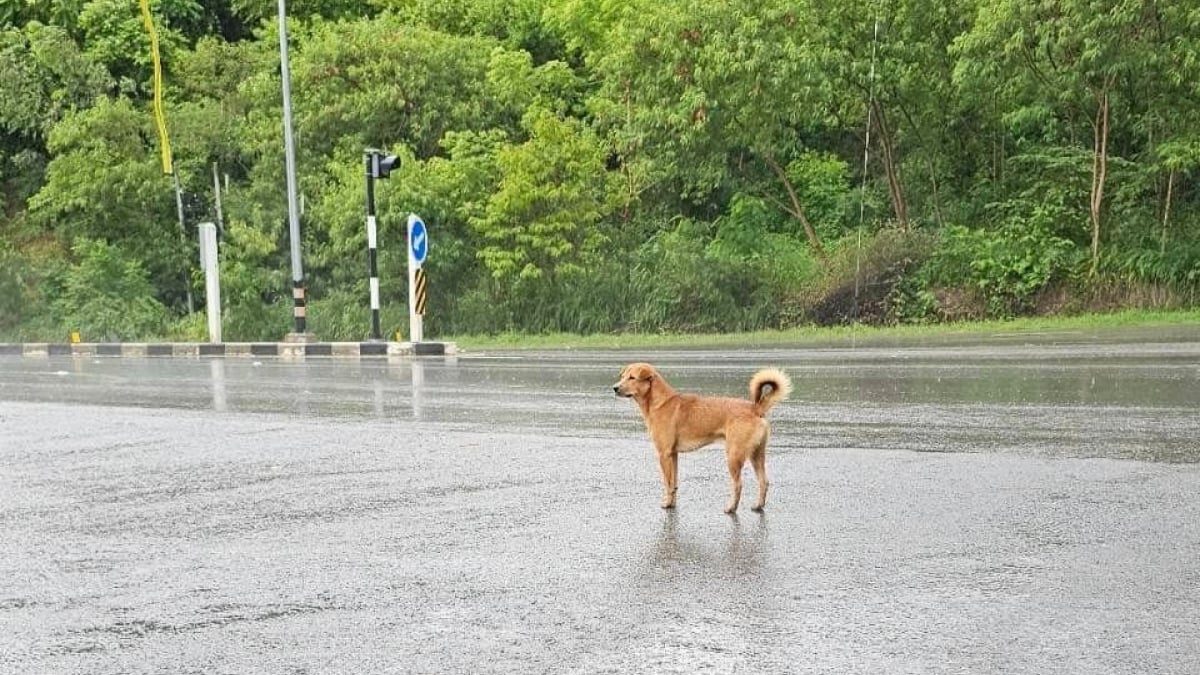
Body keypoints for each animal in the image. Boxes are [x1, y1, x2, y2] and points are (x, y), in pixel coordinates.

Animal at [614, 362, 792, 509]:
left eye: (632, 377)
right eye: (623, 376)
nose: (615, 388)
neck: (660, 403)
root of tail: (756, 408)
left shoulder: (664, 454)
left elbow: (668, 483)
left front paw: (667, 504)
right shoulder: (673, 455)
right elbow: (674, 484)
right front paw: (672, 504)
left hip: (734, 456)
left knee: (738, 485)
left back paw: (731, 508)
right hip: (757, 454)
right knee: (764, 482)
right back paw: (758, 506)